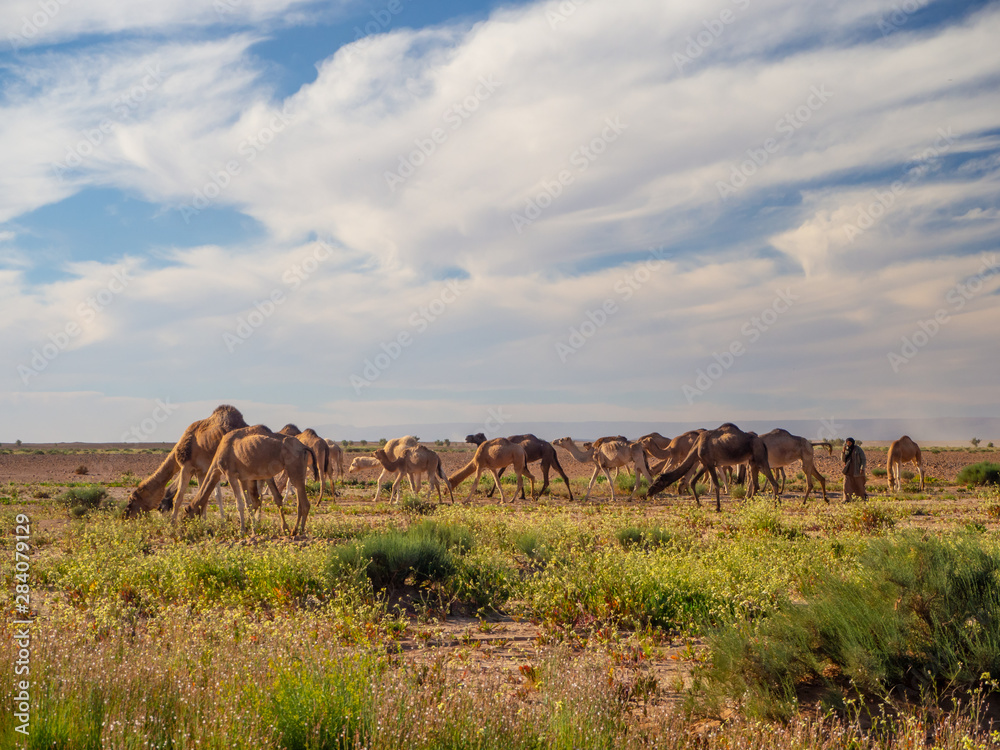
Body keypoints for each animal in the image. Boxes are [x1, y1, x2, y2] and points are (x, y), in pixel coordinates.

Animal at [184, 425, 320, 535]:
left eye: (187, 512)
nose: (183, 529)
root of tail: (304, 447)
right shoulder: (243, 478)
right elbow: (248, 503)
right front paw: (252, 528)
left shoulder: (230, 474)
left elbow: (240, 504)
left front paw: (242, 531)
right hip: (298, 471)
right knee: (299, 501)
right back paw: (293, 530)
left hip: (294, 468)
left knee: (305, 503)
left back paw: (298, 531)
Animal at [647, 423, 779, 512]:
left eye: (657, 482)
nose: (648, 492)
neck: (697, 446)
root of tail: (762, 443)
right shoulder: (705, 464)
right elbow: (693, 481)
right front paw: (699, 504)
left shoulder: (710, 463)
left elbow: (716, 484)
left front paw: (718, 507)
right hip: (753, 462)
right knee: (756, 484)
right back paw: (747, 504)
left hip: (761, 458)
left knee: (773, 482)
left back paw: (775, 505)